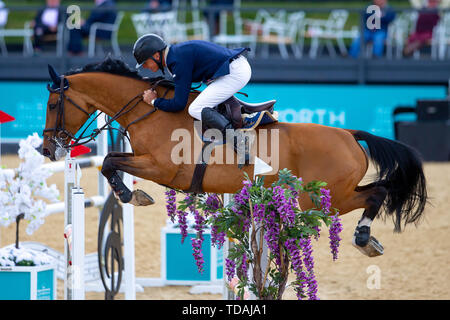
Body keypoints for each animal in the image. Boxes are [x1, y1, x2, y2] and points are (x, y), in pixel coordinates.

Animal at [43, 58, 428, 258]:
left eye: (52, 103)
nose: (48, 149)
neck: (150, 111)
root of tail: (349, 134)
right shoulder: (143, 158)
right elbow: (112, 160)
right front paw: (131, 193)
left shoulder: (162, 168)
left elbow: (110, 162)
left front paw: (131, 194)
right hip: (334, 192)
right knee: (379, 190)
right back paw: (368, 239)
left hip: (323, 197)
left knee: (376, 193)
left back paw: (363, 238)